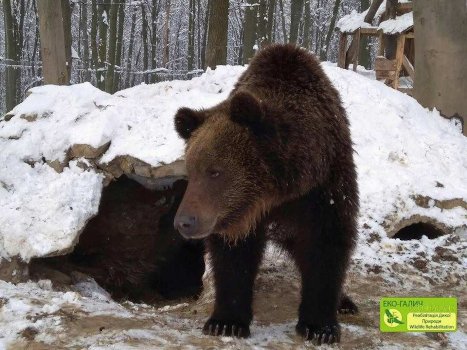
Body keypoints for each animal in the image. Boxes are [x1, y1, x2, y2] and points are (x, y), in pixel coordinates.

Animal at [172, 44, 358, 344]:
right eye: (190, 170)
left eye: (215, 171)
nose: (184, 222)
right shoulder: (236, 214)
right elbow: (234, 255)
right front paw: (226, 322)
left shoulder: (324, 187)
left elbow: (325, 244)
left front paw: (320, 326)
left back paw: (345, 302)